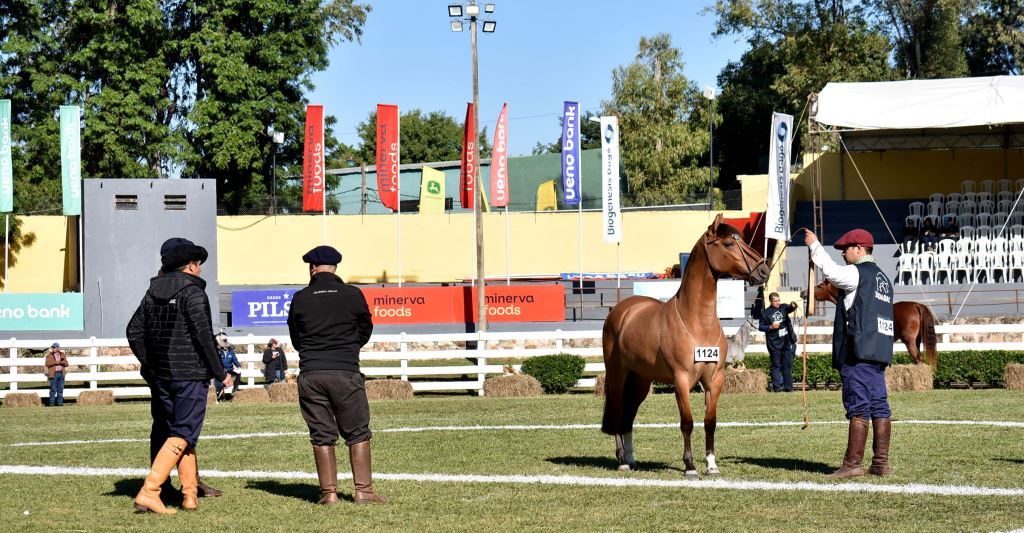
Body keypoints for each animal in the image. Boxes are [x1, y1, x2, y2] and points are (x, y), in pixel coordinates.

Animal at [598, 213, 770, 476]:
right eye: (729, 244)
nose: (764, 270)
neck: (697, 320)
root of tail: (621, 310)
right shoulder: (681, 380)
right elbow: (687, 422)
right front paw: (689, 465)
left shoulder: (714, 379)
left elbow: (710, 422)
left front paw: (711, 464)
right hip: (618, 374)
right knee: (618, 410)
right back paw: (622, 460)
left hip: (640, 380)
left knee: (629, 414)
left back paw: (632, 458)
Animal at [802, 278, 937, 366]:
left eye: (820, 286)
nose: (803, 293)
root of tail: (916, 305)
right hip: (917, 340)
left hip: (909, 341)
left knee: (917, 360)